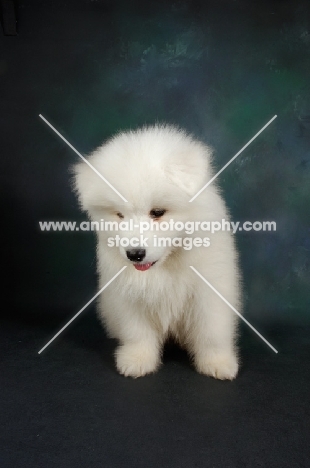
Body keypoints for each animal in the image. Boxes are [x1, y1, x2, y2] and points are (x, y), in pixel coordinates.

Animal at [73, 125, 242, 380]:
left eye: (158, 212)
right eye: (120, 215)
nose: (134, 254)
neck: (167, 264)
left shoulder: (209, 291)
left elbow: (211, 330)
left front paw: (218, 363)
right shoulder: (128, 294)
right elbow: (137, 331)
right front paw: (137, 360)